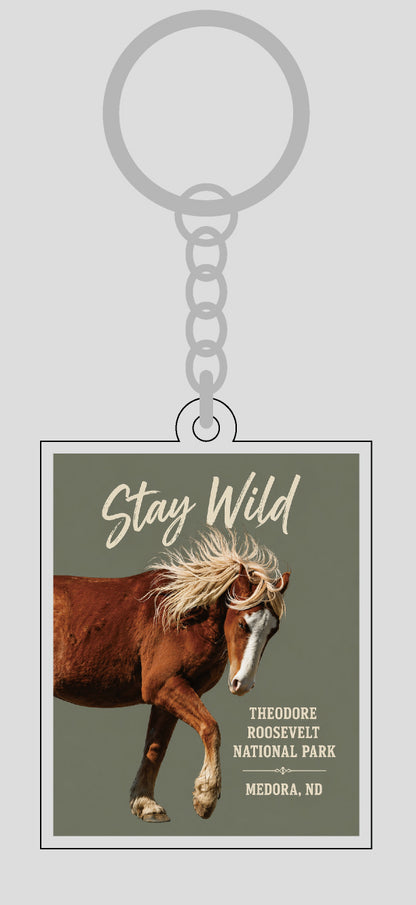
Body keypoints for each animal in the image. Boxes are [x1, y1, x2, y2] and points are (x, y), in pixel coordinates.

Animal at [53, 529, 290, 823]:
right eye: (243, 623)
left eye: (273, 630)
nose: (243, 683)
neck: (180, 620)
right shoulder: (164, 687)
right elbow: (210, 728)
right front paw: (206, 797)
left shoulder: (170, 695)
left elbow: (156, 747)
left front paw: (145, 803)